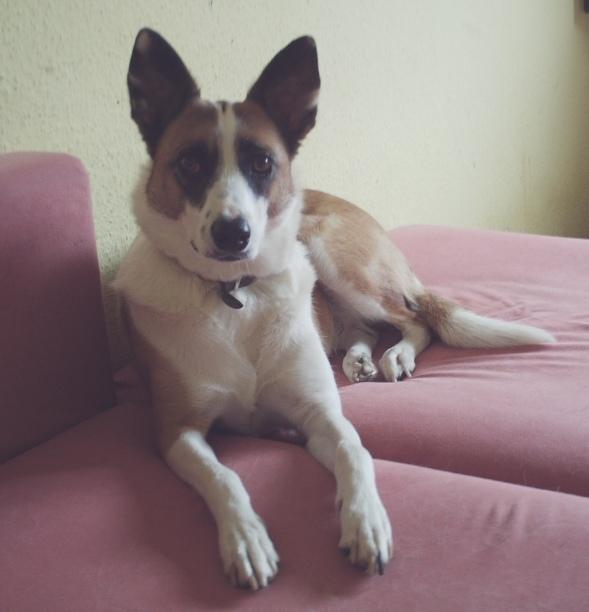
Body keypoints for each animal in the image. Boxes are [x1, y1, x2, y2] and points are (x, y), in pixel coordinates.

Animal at [114, 29, 555, 590]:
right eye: (190, 163)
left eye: (262, 163)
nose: (234, 234)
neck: (236, 292)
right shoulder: (176, 432)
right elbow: (224, 475)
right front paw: (246, 540)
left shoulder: (320, 412)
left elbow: (355, 448)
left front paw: (366, 521)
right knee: (360, 330)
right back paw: (361, 359)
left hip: (330, 251)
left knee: (412, 319)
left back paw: (394, 357)